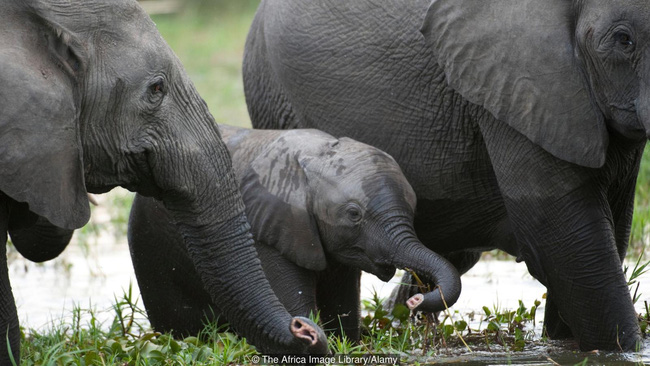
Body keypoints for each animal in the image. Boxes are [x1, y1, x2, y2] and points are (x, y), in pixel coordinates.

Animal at [128, 124, 460, 338]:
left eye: (414, 207)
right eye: (354, 214)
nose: (415, 302)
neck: (315, 158)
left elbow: (343, 299)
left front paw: (345, 343)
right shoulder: (267, 231)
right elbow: (294, 299)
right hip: (149, 243)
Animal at [240, 0, 644, 352]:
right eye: (624, 40)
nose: (420, 299)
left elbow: (604, 235)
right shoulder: (520, 91)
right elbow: (570, 245)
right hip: (276, 99)